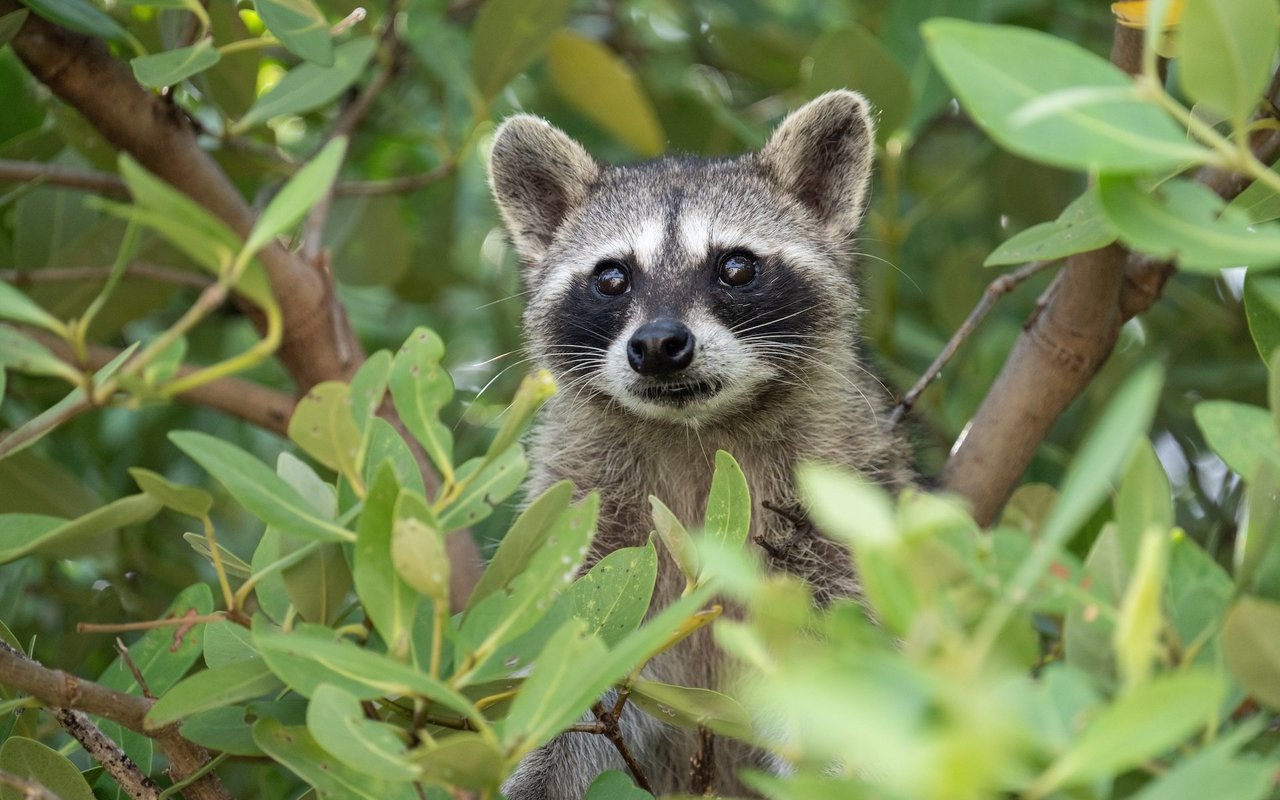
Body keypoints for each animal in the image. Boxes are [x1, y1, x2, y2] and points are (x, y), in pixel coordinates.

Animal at [483, 90, 916, 793]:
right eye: (611, 277)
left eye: (735, 266)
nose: (659, 343)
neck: (694, 430)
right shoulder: (582, 518)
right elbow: (568, 686)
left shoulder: (840, 506)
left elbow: (841, 680)